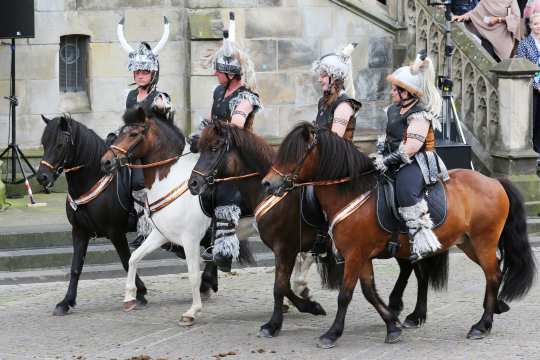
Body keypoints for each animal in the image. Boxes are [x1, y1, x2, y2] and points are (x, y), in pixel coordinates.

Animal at [37, 115, 149, 316]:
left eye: (60, 144)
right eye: (44, 143)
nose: (42, 177)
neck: (94, 178)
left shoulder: (116, 233)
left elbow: (127, 261)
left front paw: (140, 292)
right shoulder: (79, 231)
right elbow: (75, 268)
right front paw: (66, 302)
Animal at [188, 121, 450, 338]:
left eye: (214, 148)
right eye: (200, 148)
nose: (193, 183)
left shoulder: (285, 248)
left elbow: (279, 287)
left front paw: (276, 323)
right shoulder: (289, 250)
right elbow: (284, 286)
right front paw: (308, 306)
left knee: (420, 272)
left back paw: (412, 314)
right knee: (412, 270)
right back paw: (399, 310)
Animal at [262, 122, 536, 348]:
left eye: (295, 153)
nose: (267, 183)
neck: (351, 192)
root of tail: (495, 182)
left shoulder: (354, 255)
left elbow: (345, 295)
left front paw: (332, 334)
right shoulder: (361, 256)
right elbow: (369, 292)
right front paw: (392, 326)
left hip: (483, 241)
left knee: (492, 275)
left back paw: (482, 325)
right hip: (468, 243)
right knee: (492, 272)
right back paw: (491, 309)